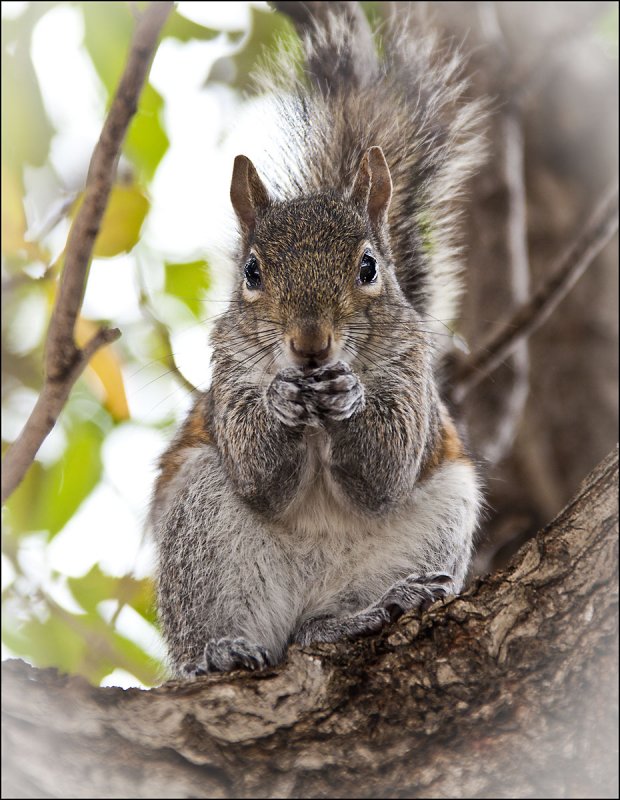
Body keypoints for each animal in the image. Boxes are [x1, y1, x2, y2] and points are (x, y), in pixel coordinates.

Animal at [149, 9, 484, 680]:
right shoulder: (227, 378)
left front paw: (349, 397)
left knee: (315, 631)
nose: (310, 344)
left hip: (440, 521)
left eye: (368, 266)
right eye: (252, 272)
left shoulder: (413, 377)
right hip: (202, 534)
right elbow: (258, 471)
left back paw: (365, 611)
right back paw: (219, 652)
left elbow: (386, 468)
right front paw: (281, 401)